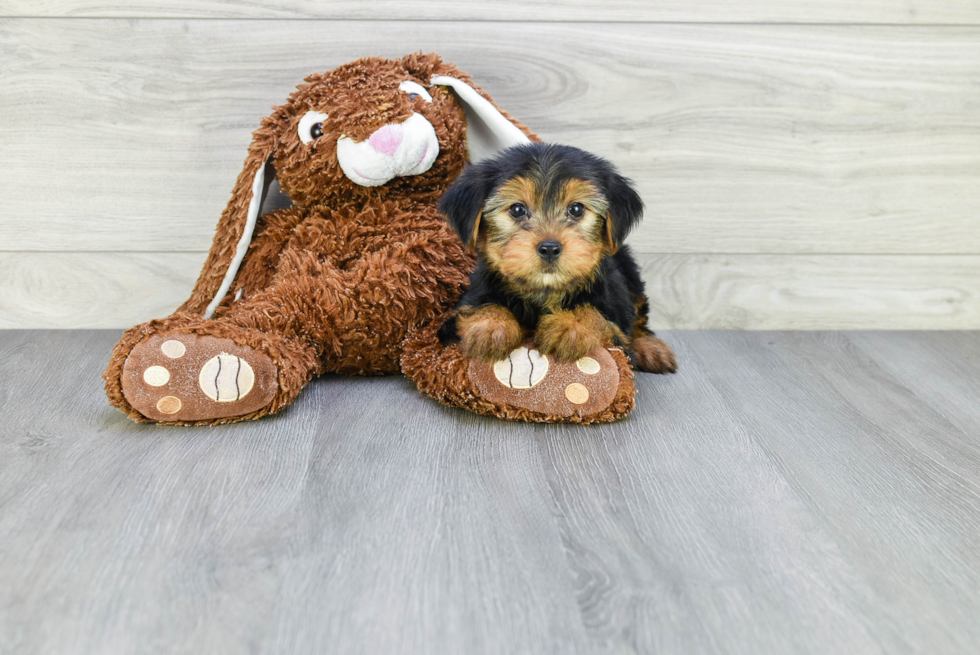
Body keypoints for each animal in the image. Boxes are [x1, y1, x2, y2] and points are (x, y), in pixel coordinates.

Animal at [440, 143, 676, 374]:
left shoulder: (616, 321)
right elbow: (477, 308)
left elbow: (600, 318)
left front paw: (571, 326)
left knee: (638, 311)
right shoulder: (460, 311)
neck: (545, 292)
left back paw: (651, 347)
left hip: (628, 270)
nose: (550, 248)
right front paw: (490, 326)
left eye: (576, 209)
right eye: (517, 209)